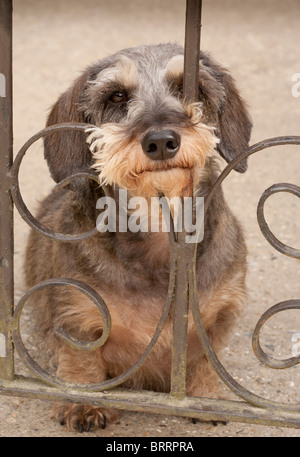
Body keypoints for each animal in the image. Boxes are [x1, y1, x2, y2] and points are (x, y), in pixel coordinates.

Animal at [25, 43, 251, 432]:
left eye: (188, 87)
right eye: (116, 95)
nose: (160, 141)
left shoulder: (218, 314)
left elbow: (207, 357)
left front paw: (207, 396)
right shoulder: (76, 313)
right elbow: (81, 357)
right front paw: (82, 401)